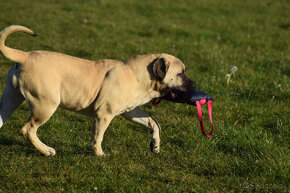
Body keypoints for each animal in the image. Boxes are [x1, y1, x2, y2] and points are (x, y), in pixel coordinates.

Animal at [0, 25, 196, 156]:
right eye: (180, 73)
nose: (194, 85)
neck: (138, 75)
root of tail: (25, 56)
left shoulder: (131, 111)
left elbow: (153, 122)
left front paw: (155, 145)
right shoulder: (104, 114)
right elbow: (98, 136)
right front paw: (99, 154)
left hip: (11, 99)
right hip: (45, 104)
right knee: (28, 129)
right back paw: (46, 150)